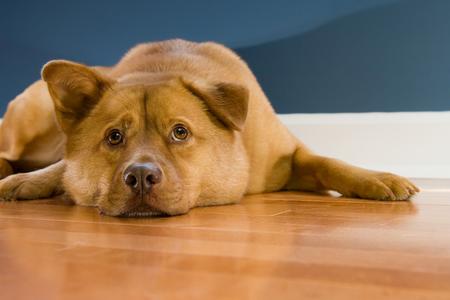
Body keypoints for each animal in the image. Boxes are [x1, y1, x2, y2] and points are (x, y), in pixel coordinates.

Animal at [0, 39, 418, 217]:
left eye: (180, 132)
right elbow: (61, 167)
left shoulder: (292, 156)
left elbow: (328, 162)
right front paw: (28, 182)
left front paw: (375, 178)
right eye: (114, 137)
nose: (140, 177)